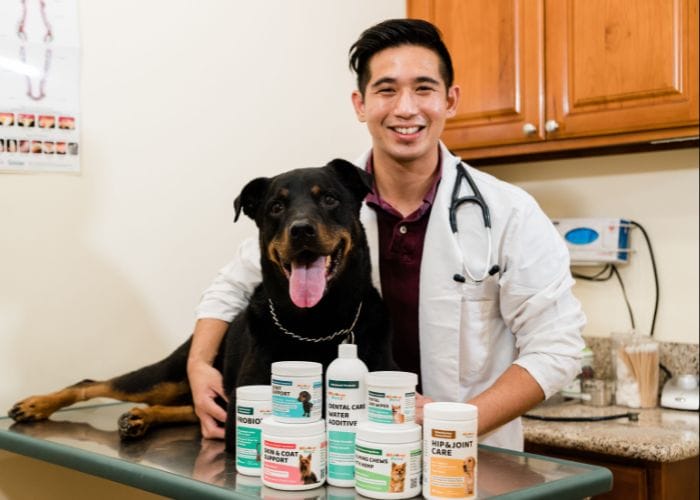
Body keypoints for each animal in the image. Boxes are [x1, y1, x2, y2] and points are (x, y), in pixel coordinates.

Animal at [8, 159, 396, 451]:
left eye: (329, 199)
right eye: (276, 207)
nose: (301, 230)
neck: (314, 323)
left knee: (192, 408)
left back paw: (141, 416)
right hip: (169, 373)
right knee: (98, 382)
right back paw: (36, 404)